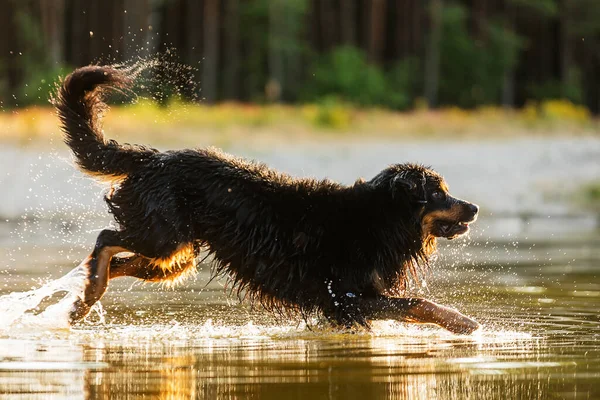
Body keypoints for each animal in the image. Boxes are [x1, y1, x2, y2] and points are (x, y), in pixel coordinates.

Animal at [54, 66, 480, 334]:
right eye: (438, 193)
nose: (474, 207)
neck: (379, 219)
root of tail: (154, 157)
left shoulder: (346, 303)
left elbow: (410, 306)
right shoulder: (345, 297)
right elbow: (417, 304)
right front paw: (464, 323)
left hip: (174, 258)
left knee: (115, 260)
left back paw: (84, 298)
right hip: (163, 237)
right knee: (106, 238)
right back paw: (90, 291)